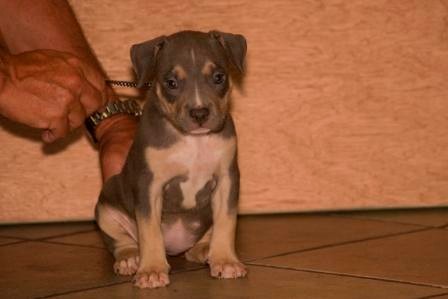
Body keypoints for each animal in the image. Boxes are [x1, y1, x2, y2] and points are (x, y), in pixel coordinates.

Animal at [96, 29, 247, 288]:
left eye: (218, 77)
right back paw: (130, 258)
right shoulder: (149, 186)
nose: (200, 113)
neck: (194, 140)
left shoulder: (227, 181)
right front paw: (151, 270)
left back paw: (204, 249)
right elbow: (150, 231)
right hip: (106, 208)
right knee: (120, 241)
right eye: (171, 83)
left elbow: (226, 223)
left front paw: (225, 260)